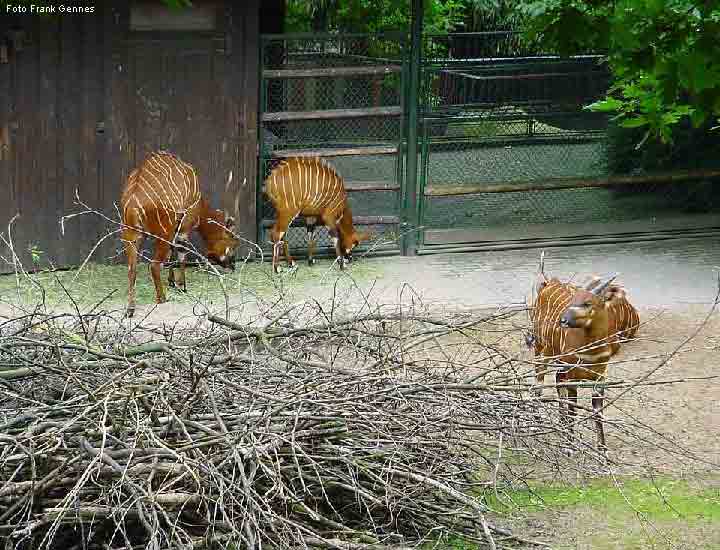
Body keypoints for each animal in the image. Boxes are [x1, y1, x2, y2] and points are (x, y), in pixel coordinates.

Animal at [120, 151, 239, 320]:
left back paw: (130, 309)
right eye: (233, 241)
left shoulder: (176, 229)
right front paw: (182, 286)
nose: (233, 265)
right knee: (154, 265)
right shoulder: (184, 226)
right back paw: (162, 298)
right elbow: (182, 252)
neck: (199, 204)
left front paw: (171, 282)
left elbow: (173, 251)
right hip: (162, 232)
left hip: (131, 234)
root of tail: (133, 203)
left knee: (132, 269)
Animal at [524, 254, 640, 452]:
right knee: (538, 383)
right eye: (572, 301)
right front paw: (569, 446)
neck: (592, 351)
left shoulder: (600, 377)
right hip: (541, 350)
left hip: (559, 362)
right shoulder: (573, 376)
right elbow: (574, 408)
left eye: (588, 303)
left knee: (557, 383)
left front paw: (602, 452)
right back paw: (536, 424)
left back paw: (560, 425)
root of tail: (547, 283)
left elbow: (597, 413)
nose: (563, 320)